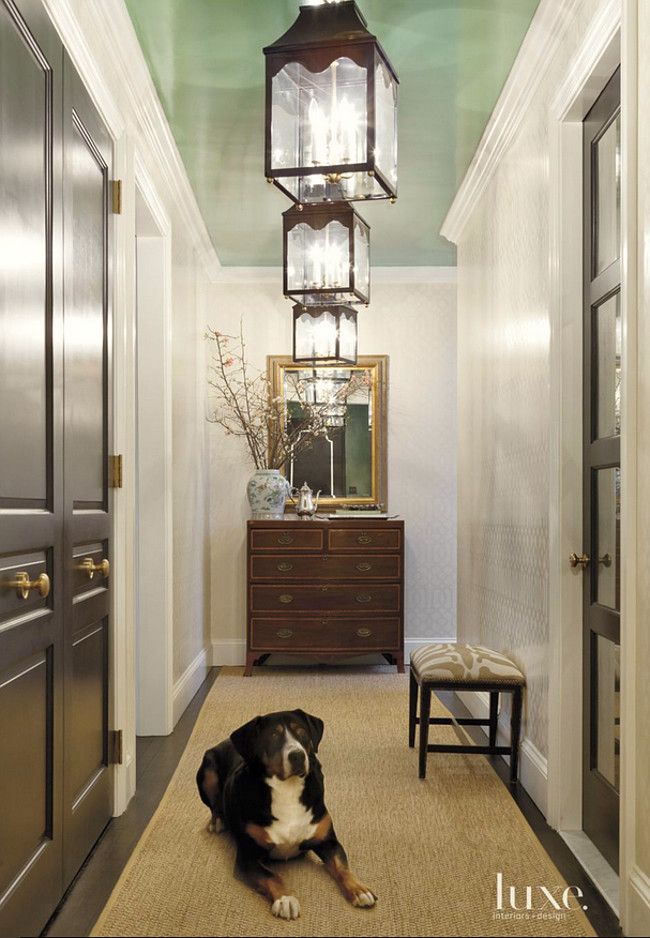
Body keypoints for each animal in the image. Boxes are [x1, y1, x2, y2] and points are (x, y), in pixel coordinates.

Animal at [195, 704, 374, 916]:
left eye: (301, 732)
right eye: (273, 735)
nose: (297, 755)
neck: (287, 790)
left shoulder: (328, 841)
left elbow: (342, 866)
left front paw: (359, 889)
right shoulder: (248, 856)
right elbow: (271, 876)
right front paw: (285, 899)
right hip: (207, 771)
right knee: (214, 805)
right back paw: (217, 821)